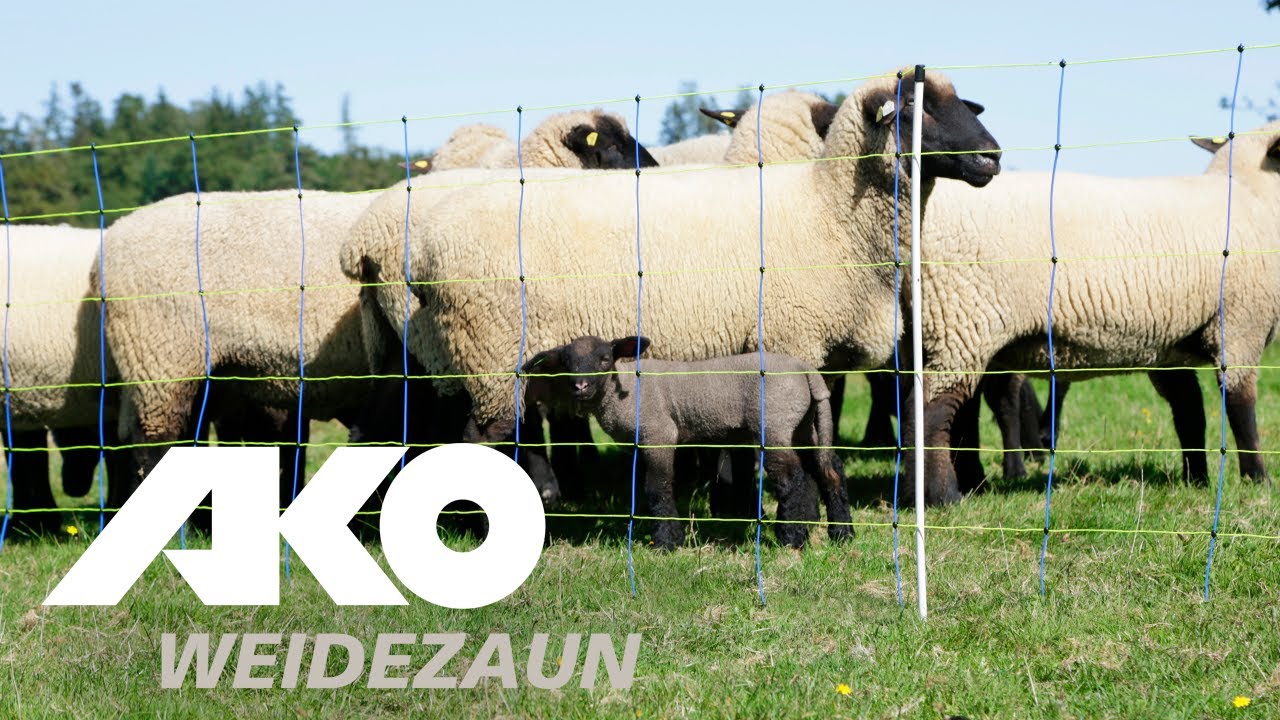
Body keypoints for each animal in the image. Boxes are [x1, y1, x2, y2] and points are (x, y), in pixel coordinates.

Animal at [354, 68, 1001, 497]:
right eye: (916, 108)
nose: (992, 157)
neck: (827, 212)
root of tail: (423, 251)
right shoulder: (790, 337)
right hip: (491, 350)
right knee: (478, 433)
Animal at [521, 335, 850, 549]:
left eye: (604, 359)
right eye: (567, 363)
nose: (580, 386)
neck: (622, 390)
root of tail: (806, 371)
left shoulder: (659, 433)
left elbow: (658, 486)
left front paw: (667, 541)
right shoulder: (640, 443)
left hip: (775, 422)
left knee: (791, 477)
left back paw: (791, 537)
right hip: (803, 424)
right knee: (828, 469)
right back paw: (841, 534)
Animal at [910, 120, 1280, 505]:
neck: (1254, 198)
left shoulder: (1169, 345)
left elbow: (1189, 411)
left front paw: (1197, 480)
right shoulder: (1240, 324)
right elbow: (1240, 408)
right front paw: (1258, 480)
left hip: (957, 328)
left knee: (962, 412)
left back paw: (972, 483)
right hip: (964, 319)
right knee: (930, 408)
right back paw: (941, 495)